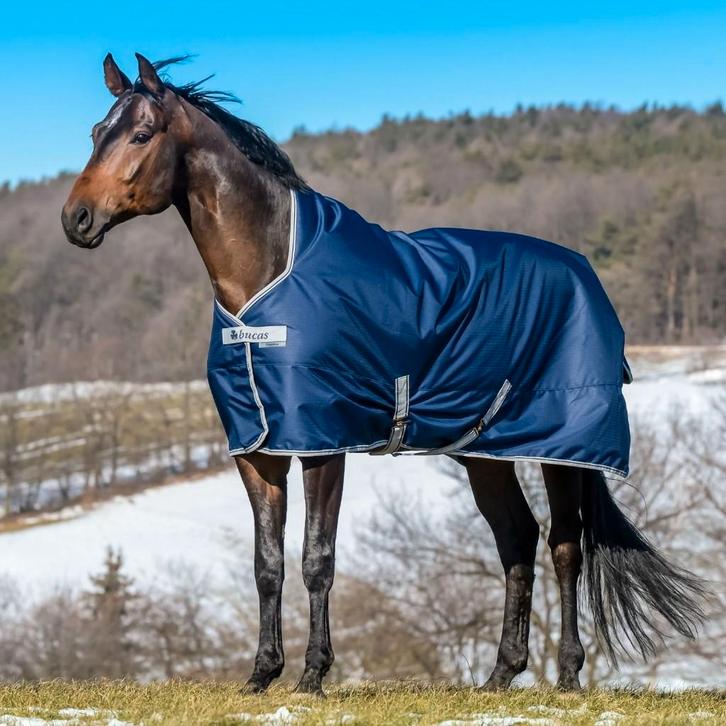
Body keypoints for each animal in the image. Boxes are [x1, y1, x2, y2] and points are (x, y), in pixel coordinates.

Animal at [62, 54, 704, 695]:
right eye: (95, 134)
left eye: (142, 135)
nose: (76, 219)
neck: (268, 279)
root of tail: (584, 274)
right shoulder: (257, 450)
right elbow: (266, 564)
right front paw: (261, 676)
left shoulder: (323, 444)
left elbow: (316, 558)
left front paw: (313, 675)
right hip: (484, 452)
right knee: (517, 540)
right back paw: (500, 674)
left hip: (563, 448)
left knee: (565, 544)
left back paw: (568, 676)